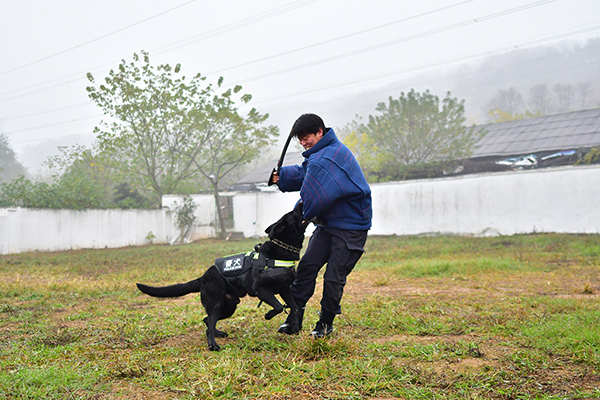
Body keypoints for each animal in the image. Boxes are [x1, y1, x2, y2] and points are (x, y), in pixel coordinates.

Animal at [138, 203, 308, 350]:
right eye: (294, 213)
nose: (301, 203)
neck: (281, 252)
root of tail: (202, 278)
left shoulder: (284, 290)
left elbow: (295, 307)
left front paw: (294, 327)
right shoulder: (261, 290)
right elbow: (279, 306)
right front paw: (269, 315)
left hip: (229, 307)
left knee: (207, 321)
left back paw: (217, 334)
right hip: (217, 305)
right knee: (209, 323)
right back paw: (213, 344)